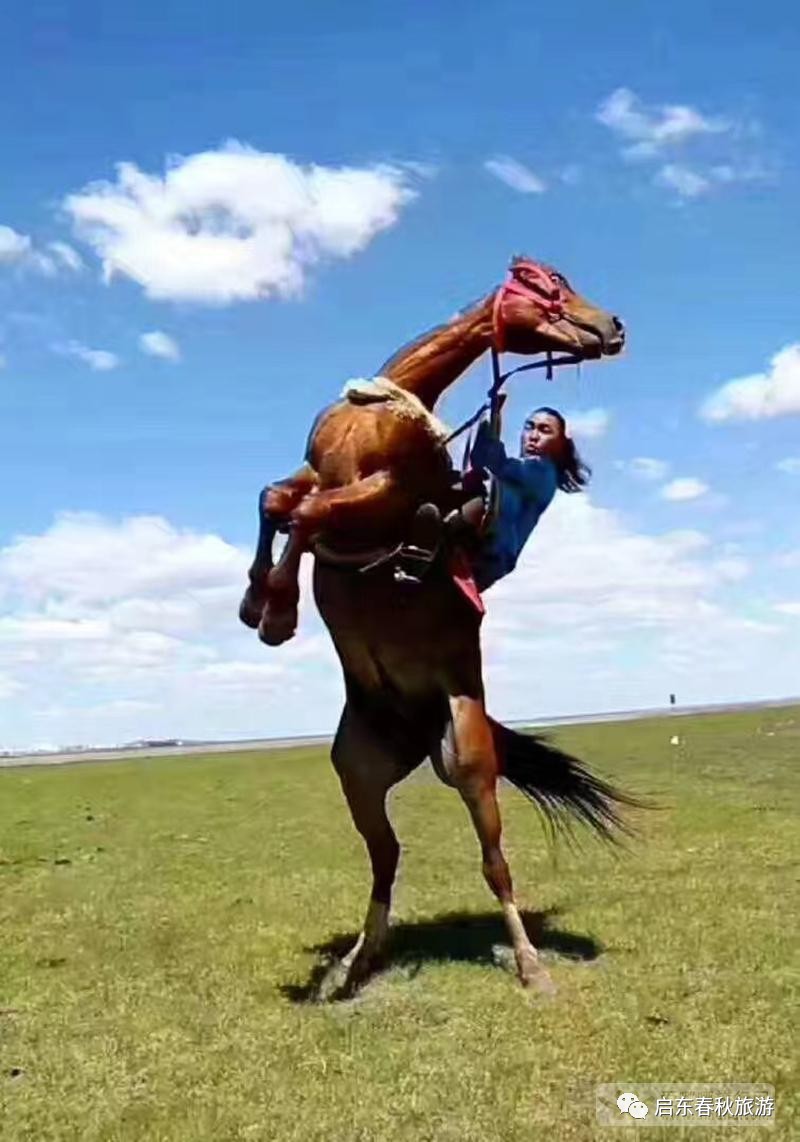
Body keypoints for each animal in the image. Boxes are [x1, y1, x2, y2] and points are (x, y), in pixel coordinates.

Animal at [240, 254, 634, 995]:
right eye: (549, 287)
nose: (613, 326)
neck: (380, 410)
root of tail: (417, 726)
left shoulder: (380, 496)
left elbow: (305, 517)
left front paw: (277, 609)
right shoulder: (315, 471)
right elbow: (277, 501)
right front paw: (259, 604)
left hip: (469, 763)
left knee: (493, 863)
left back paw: (532, 968)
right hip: (359, 772)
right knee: (386, 858)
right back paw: (354, 965)